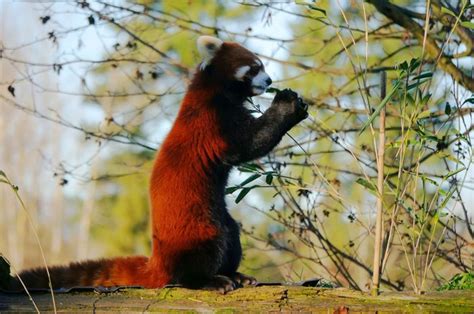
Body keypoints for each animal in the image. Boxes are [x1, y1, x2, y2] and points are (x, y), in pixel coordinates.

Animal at [3, 35, 310, 294]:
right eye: (255, 67)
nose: (269, 80)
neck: (212, 90)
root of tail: (158, 260)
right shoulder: (214, 122)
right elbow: (251, 143)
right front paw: (287, 105)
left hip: (222, 218)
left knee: (232, 236)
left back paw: (236, 274)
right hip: (197, 229)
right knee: (196, 262)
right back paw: (210, 280)